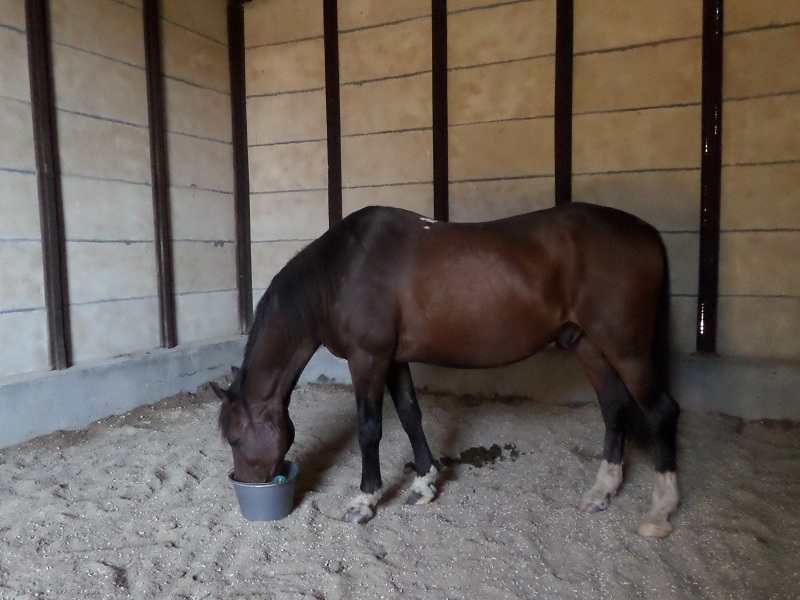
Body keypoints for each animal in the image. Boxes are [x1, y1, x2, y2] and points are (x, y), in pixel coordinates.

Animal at [210, 202, 680, 538]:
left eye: (234, 438)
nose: (246, 481)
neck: (341, 272)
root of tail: (648, 233)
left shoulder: (368, 358)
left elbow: (369, 428)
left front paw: (365, 501)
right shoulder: (393, 359)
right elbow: (410, 415)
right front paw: (424, 484)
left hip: (627, 348)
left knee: (661, 411)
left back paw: (660, 511)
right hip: (590, 345)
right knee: (615, 408)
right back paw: (601, 493)